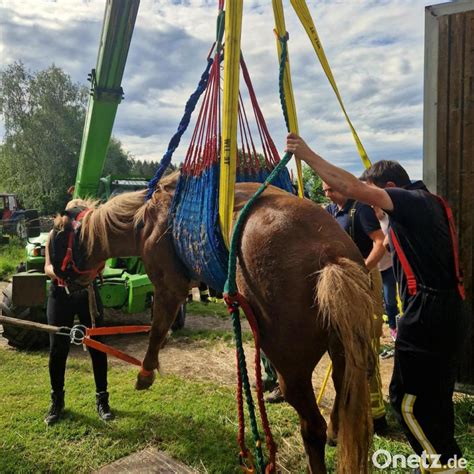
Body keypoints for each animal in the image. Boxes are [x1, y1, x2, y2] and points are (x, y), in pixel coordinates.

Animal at [61, 172, 376, 472]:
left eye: (59, 237)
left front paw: (146, 372)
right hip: (343, 346)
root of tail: (331, 257)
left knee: (312, 426)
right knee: (343, 391)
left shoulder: (169, 284)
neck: (145, 215)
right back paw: (336, 428)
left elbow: (158, 328)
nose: (62, 281)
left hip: (292, 366)